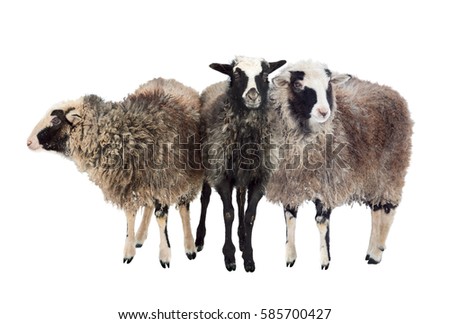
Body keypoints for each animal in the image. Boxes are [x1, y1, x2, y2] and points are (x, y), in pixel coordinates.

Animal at [27, 77, 203, 268]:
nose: (28, 142)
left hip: (186, 178)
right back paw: (140, 236)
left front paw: (165, 255)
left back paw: (190, 245)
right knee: (149, 205)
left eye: (56, 121)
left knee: (184, 207)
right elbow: (130, 215)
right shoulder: (127, 184)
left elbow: (161, 218)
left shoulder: (163, 182)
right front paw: (129, 250)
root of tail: (170, 80)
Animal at [266, 60, 414, 268]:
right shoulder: (289, 184)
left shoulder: (327, 184)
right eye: (297, 85)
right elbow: (289, 219)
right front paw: (290, 257)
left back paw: (376, 254)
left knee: (387, 209)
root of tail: (392, 92)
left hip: (392, 168)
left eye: (329, 85)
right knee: (376, 210)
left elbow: (321, 222)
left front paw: (324, 261)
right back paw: (370, 251)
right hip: (371, 175)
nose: (324, 112)